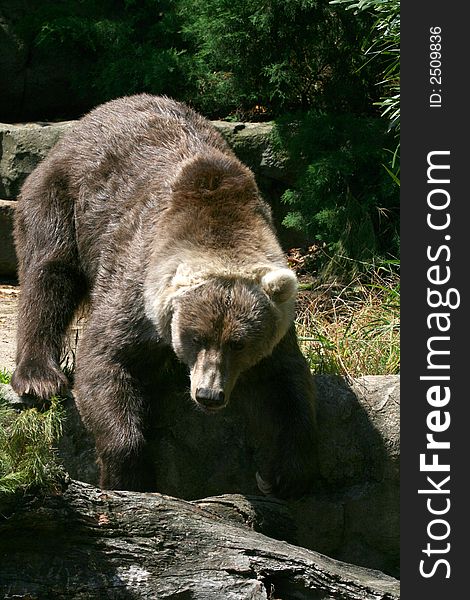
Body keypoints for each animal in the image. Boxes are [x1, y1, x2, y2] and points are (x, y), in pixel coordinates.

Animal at [12, 94, 318, 496]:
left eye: (239, 343)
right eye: (195, 336)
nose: (208, 395)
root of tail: (95, 114)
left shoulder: (277, 327)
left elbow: (287, 385)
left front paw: (282, 474)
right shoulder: (136, 288)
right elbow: (105, 358)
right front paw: (127, 476)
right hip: (64, 198)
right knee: (49, 273)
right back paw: (39, 376)